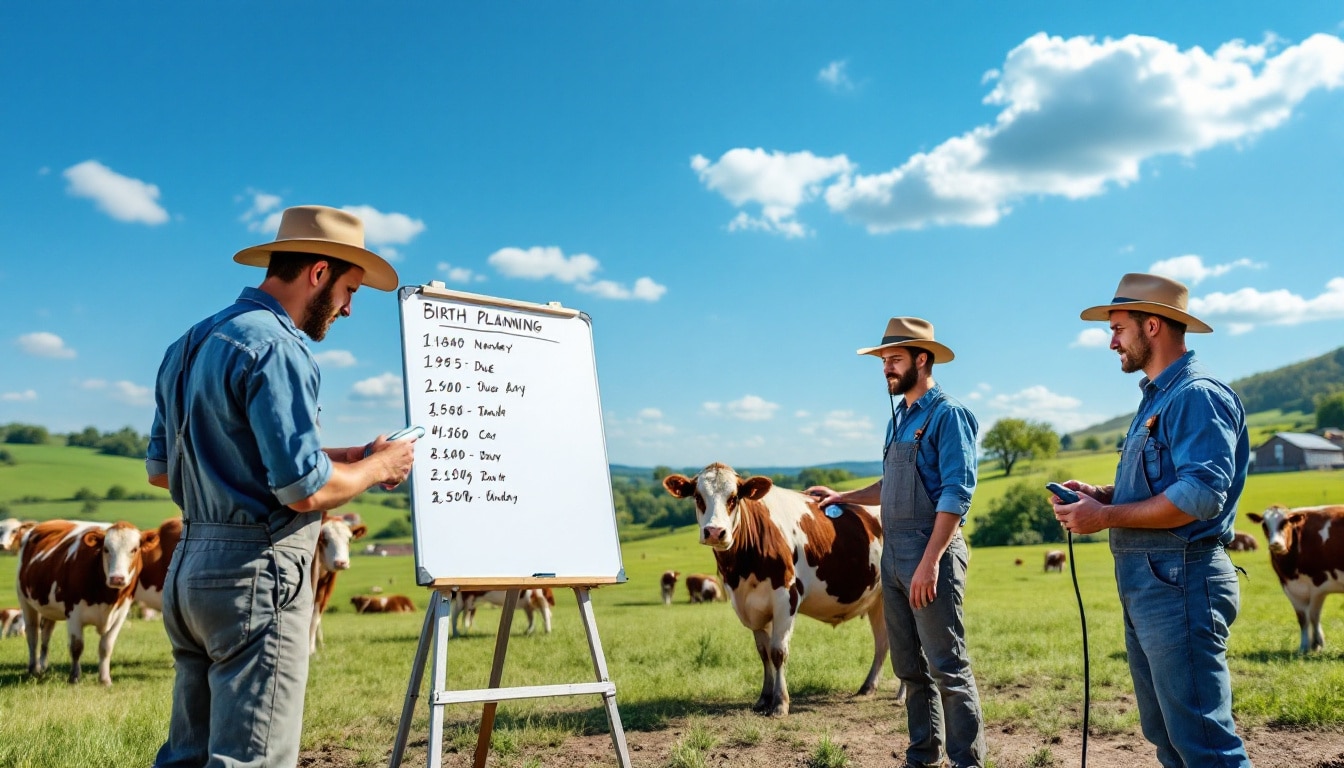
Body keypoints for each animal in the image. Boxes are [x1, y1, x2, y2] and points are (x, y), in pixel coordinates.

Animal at [17, 521, 158, 685]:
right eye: (106, 549)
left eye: (134, 549)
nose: (117, 578)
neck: (107, 597)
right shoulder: (73, 612)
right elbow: (76, 647)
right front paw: (74, 677)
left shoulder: (121, 613)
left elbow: (106, 647)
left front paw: (105, 680)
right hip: (25, 601)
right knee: (32, 634)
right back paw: (34, 668)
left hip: (48, 607)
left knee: (46, 632)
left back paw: (43, 666)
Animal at [307, 513, 365, 650]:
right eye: (324, 539)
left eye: (350, 539)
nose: (340, 562)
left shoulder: (325, 584)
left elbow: (315, 614)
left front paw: (311, 647)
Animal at [663, 462, 903, 720]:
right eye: (698, 497)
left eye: (734, 497)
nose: (715, 532)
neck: (742, 571)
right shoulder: (750, 605)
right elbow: (763, 652)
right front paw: (764, 698)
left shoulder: (785, 598)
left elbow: (778, 652)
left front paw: (780, 703)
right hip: (878, 599)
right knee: (883, 642)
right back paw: (867, 688)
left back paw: (901, 696)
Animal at [1241, 505, 1344, 656]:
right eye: (1265, 524)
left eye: (1285, 522)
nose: (1276, 544)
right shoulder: (1291, 587)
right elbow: (1305, 618)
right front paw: (1309, 646)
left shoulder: (1316, 585)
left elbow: (1311, 616)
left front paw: (1312, 644)